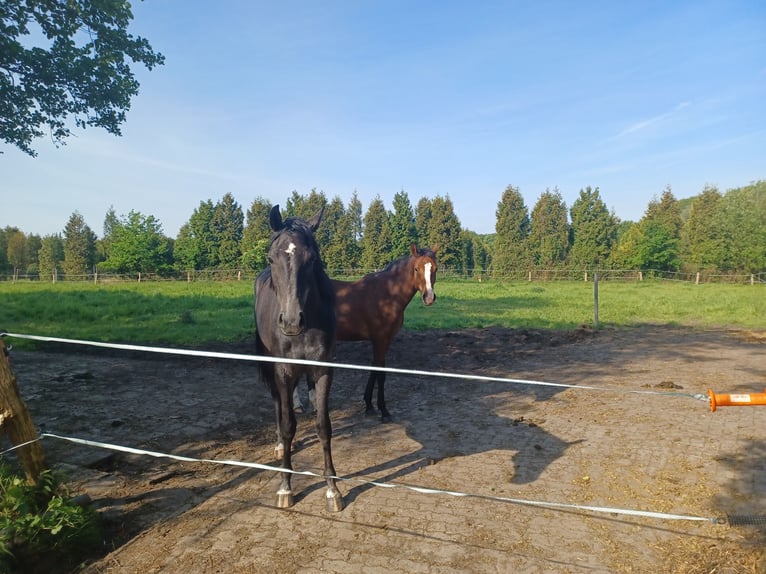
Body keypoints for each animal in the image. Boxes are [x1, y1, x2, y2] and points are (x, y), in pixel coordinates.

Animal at [255, 206, 344, 512]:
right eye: (272, 257)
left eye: (312, 258)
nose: (292, 322)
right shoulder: (283, 371)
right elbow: (288, 424)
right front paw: (285, 488)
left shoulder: (323, 370)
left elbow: (323, 426)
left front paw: (332, 490)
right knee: (277, 403)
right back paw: (281, 446)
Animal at [296, 243, 440, 424]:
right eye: (416, 269)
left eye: (435, 268)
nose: (429, 297)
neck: (388, 294)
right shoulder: (379, 339)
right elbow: (380, 373)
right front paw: (384, 411)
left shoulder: (385, 340)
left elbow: (374, 369)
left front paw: (369, 405)